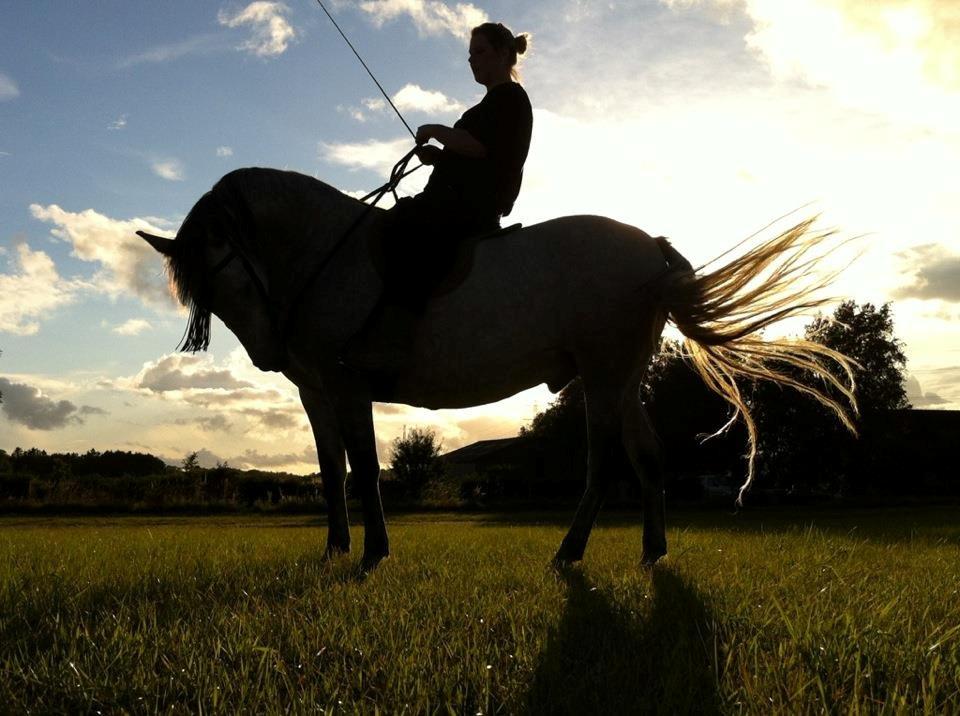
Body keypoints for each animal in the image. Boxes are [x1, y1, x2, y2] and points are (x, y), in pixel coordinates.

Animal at [137, 166, 856, 572]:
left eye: (225, 273)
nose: (268, 354)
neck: (325, 253)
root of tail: (651, 250)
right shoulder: (316, 390)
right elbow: (331, 470)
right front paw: (335, 549)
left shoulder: (347, 384)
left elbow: (364, 466)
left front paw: (373, 553)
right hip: (622, 378)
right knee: (646, 456)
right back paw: (652, 551)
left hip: (601, 377)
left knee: (602, 461)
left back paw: (570, 552)